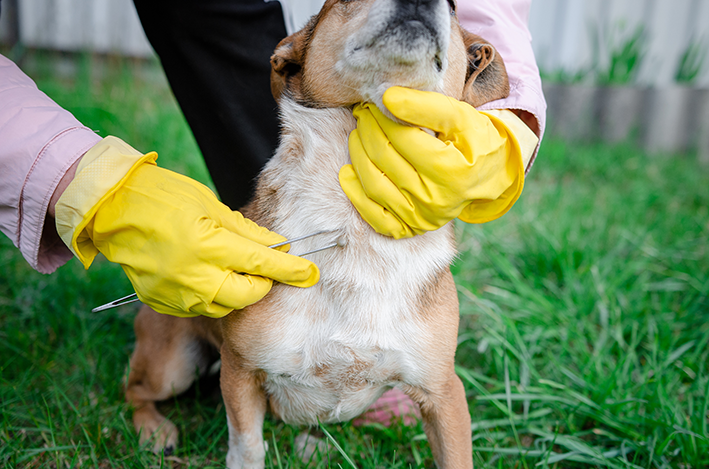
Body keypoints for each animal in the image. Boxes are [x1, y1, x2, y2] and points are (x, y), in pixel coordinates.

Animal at [123, 0, 508, 464]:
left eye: (453, 7)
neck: (353, 224)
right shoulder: (239, 371)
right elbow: (248, 448)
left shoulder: (443, 391)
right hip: (174, 365)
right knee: (133, 389)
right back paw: (153, 430)